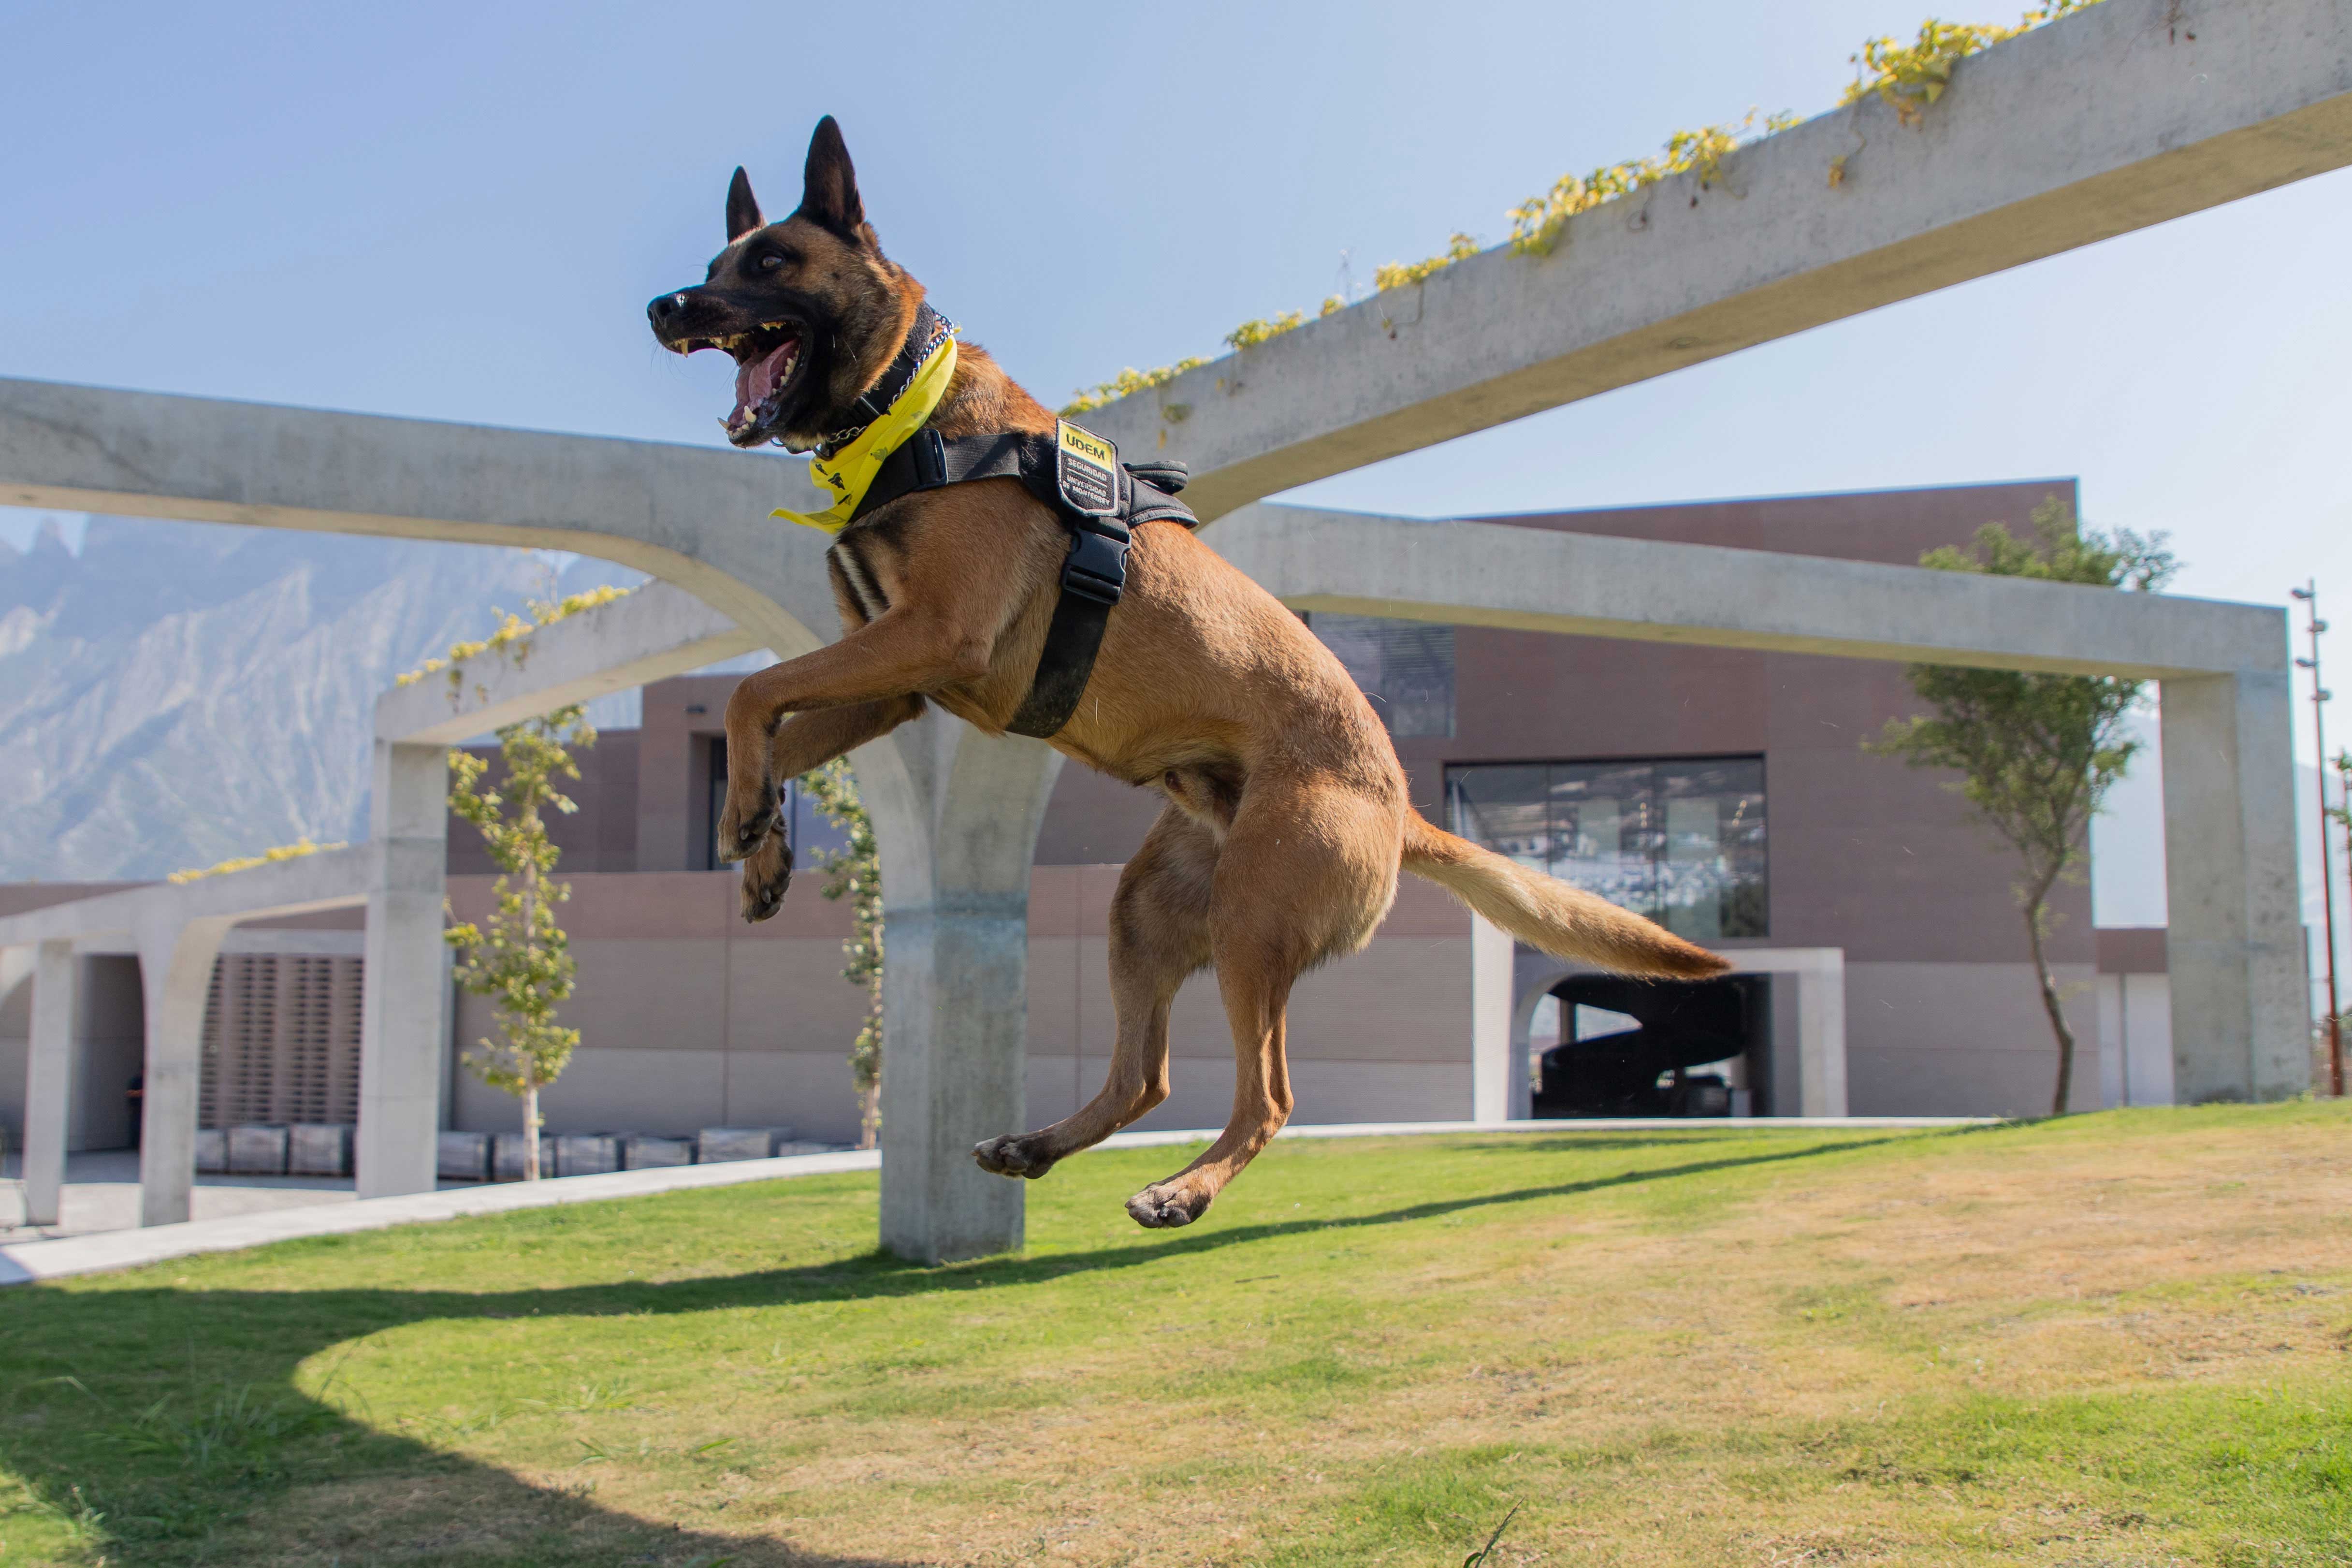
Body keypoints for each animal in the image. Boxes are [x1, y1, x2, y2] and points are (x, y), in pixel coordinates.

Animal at [649, 116, 1731, 1232]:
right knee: (1146, 1075)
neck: (911, 407)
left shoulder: (933, 638)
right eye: (714, 266)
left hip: (1250, 920)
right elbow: (774, 719)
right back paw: (1038, 1143)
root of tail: (1399, 808)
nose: (664, 307)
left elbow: (751, 691)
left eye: (771, 263)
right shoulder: (892, 681)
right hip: (1147, 912)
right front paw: (762, 847)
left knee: (1269, 1095)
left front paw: (747, 822)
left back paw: (1185, 1187)